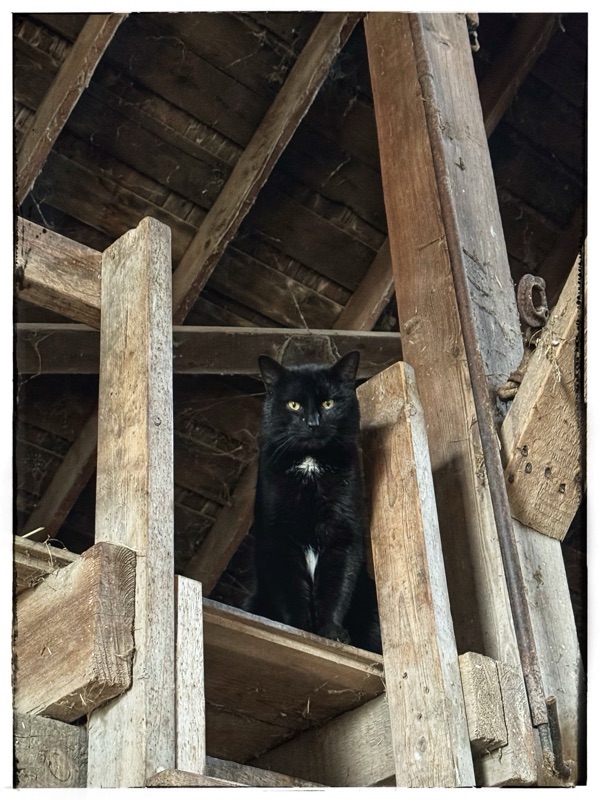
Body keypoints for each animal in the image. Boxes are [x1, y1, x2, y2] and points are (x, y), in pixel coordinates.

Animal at [245, 351, 381, 653]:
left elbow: (337, 587)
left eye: (328, 403)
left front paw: (331, 632)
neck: (310, 465)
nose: (313, 423)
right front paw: (300, 629)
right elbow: (291, 589)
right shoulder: (278, 538)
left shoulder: (343, 534)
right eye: (294, 405)